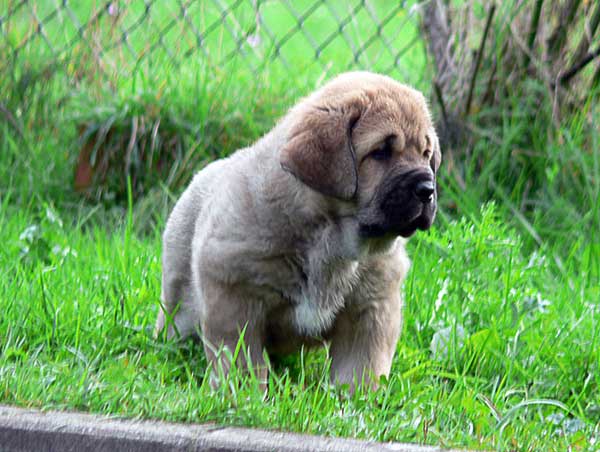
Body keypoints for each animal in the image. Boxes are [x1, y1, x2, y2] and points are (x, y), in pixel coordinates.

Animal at [157, 71, 442, 388]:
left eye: (426, 153)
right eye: (381, 152)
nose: (427, 189)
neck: (329, 238)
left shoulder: (371, 307)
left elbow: (362, 366)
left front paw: (357, 396)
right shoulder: (232, 292)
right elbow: (241, 356)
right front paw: (243, 391)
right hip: (177, 298)